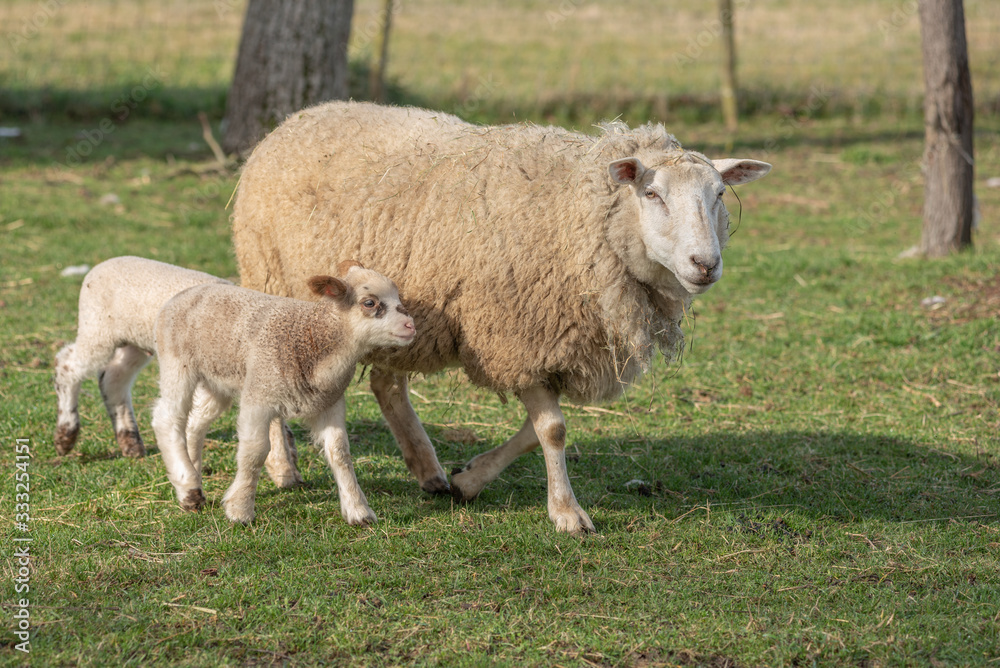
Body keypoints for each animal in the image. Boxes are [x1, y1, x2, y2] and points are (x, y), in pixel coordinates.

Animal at [52, 256, 300, 486]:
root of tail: (101, 265)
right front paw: (284, 471)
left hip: (135, 341)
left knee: (113, 378)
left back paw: (130, 442)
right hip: (97, 328)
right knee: (67, 365)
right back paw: (65, 435)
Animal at [151, 258, 414, 524]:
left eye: (398, 297)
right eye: (369, 303)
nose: (411, 325)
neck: (312, 339)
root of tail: (185, 294)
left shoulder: (330, 402)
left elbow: (340, 453)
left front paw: (358, 510)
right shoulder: (259, 396)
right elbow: (255, 451)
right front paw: (240, 509)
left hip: (216, 380)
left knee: (196, 422)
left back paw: (192, 478)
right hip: (177, 363)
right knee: (167, 419)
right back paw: (188, 487)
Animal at [229, 102, 772, 536]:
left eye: (719, 195)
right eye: (653, 194)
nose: (705, 264)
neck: (580, 215)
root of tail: (299, 117)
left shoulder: (546, 347)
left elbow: (535, 429)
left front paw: (468, 480)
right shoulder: (519, 335)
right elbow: (552, 430)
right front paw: (567, 513)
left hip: (396, 315)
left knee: (387, 385)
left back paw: (428, 470)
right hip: (271, 281)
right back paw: (283, 468)